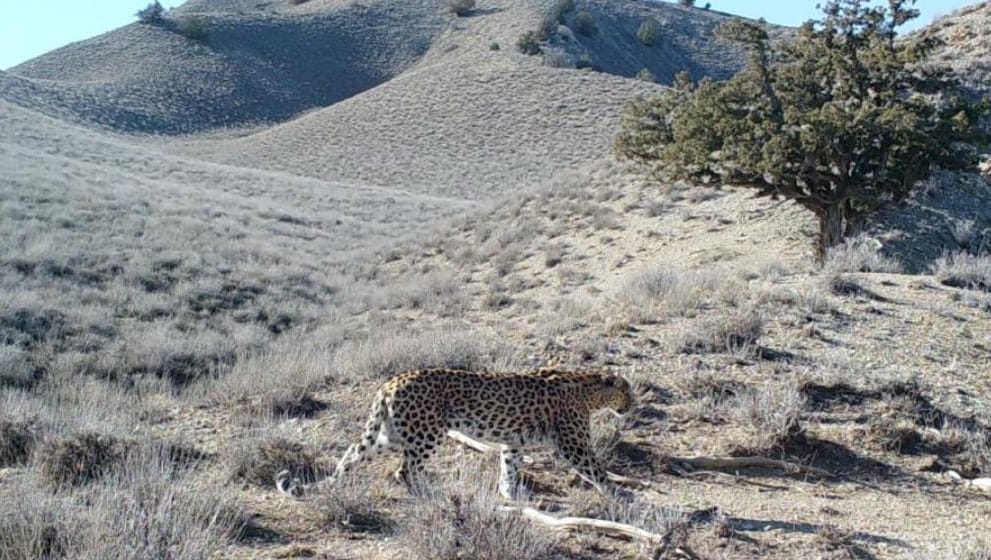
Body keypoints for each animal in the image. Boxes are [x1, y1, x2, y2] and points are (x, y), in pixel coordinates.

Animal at [276, 367, 635, 500]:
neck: (591, 390)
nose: (633, 403)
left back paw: (333, 482)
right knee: (404, 469)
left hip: (389, 435)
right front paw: (620, 495)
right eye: (627, 390)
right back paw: (429, 494)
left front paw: (508, 493)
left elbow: (508, 466)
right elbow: (597, 471)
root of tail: (390, 382)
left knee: (352, 454)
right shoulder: (574, 445)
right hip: (427, 434)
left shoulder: (512, 441)